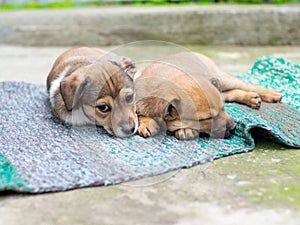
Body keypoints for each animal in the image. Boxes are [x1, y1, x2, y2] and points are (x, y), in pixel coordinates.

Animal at [135, 51, 282, 140]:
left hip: (222, 77)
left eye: (224, 109)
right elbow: (138, 114)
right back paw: (251, 98)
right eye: (207, 118)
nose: (234, 128)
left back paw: (270, 93)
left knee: (246, 85)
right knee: (229, 93)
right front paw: (147, 123)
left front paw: (185, 130)